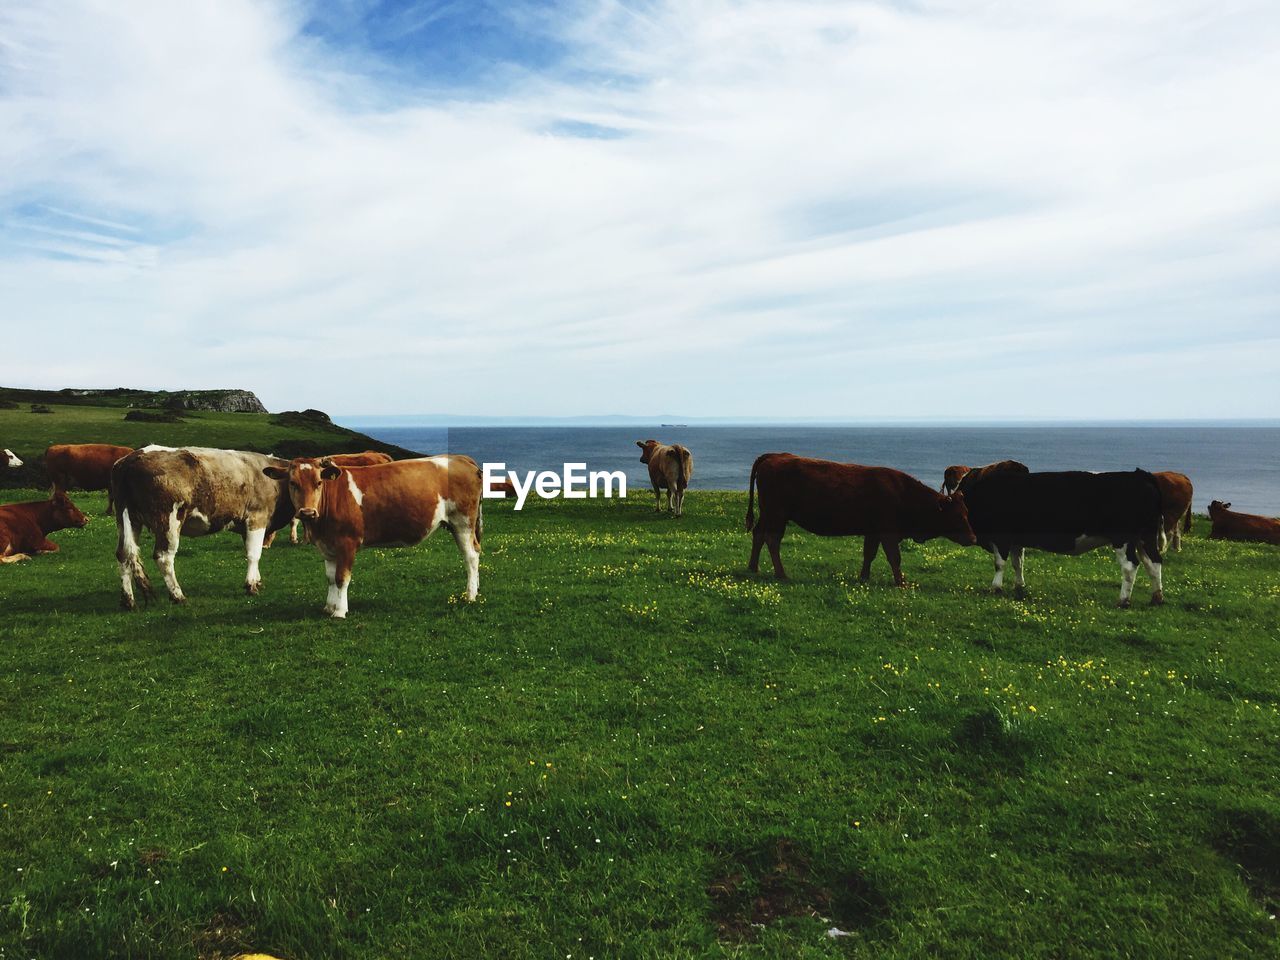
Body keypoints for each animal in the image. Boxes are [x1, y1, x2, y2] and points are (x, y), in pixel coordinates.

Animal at [111, 445, 293, 609]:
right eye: (294, 481)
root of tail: (132, 458)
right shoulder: (257, 518)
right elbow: (254, 554)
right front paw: (251, 586)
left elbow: (252, 550)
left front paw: (257, 580)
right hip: (168, 521)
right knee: (164, 557)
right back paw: (178, 596)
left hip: (127, 520)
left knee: (123, 555)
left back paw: (128, 601)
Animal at [747, 453, 972, 586]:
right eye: (958, 516)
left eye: (967, 512)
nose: (974, 538)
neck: (903, 493)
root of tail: (775, 456)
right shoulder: (888, 531)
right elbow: (894, 557)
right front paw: (901, 582)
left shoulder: (873, 531)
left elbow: (869, 554)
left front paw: (864, 577)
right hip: (777, 516)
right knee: (772, 540)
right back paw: (781, 574)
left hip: (768, 515)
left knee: (758, 535)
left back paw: (753, 568)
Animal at [962, 468, 1172, 609]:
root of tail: (1139, 474)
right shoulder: (1016, 540)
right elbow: (1017, 563)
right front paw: (1019, 586)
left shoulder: (1001, 538)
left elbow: (1000, 564)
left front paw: (995, 587)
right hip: (1145, 537)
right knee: (1153, 563)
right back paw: (1157, 598)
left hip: (1124, 538)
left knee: (1130, 566)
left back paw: (1123, 601)